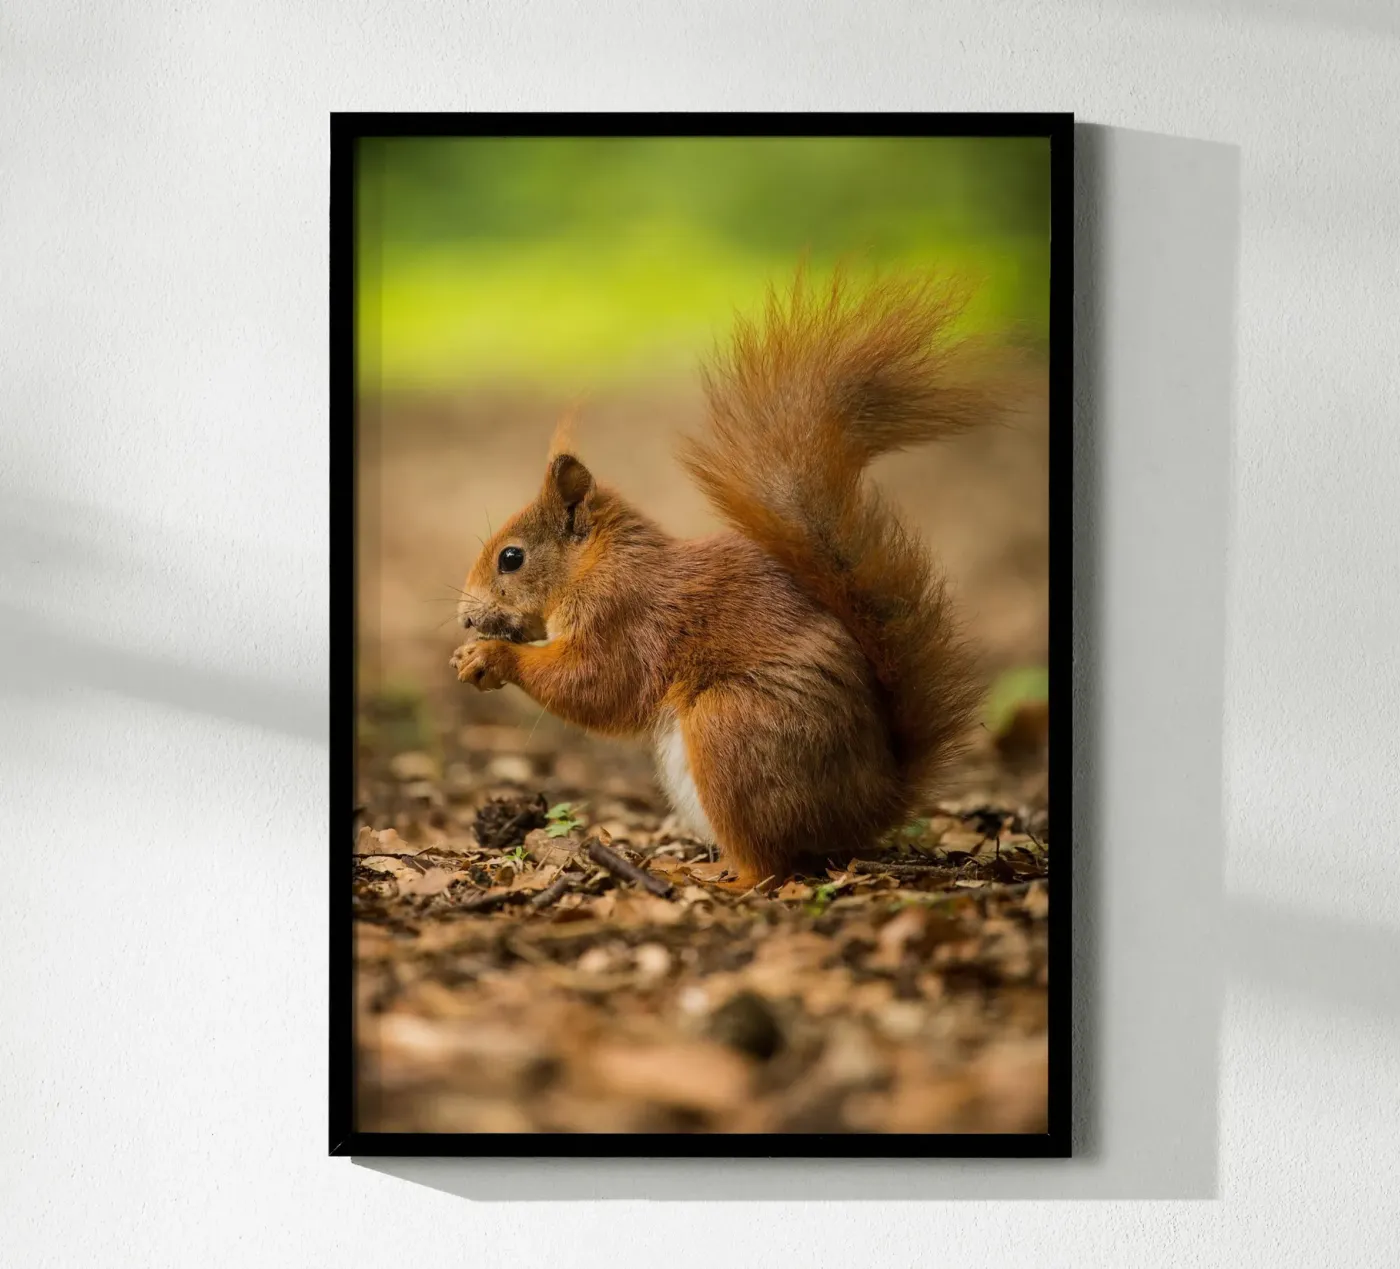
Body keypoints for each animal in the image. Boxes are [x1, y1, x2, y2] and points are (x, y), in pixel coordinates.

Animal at [451, 271, 1001, 889]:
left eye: (511, 558)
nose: (465, 617)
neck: (598, 563)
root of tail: (871, 805)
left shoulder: (626, 616)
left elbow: (596, 683)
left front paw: (491, 657)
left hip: (732, 729)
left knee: (769, 867)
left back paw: (710, 878)